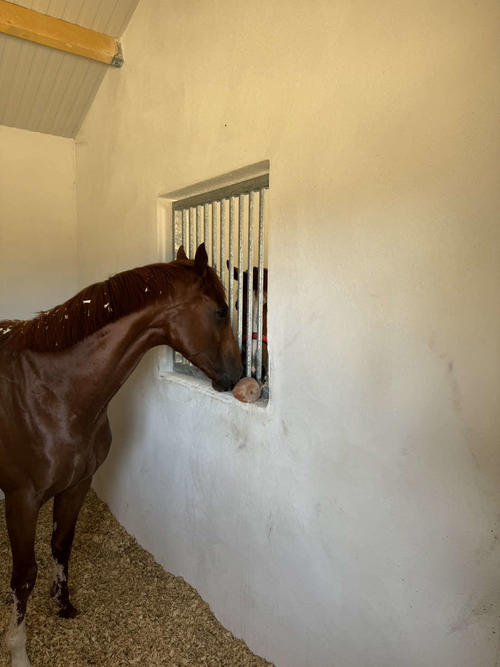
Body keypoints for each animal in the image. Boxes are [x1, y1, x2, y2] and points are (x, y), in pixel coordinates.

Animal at [0, 243, 242, 667]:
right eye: (221, 311)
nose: (242, 372)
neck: (52, 393)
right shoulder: (21, 501)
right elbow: (24, 575)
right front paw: (18, 651)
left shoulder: (78, 485)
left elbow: (61, 544)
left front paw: (63, 606)